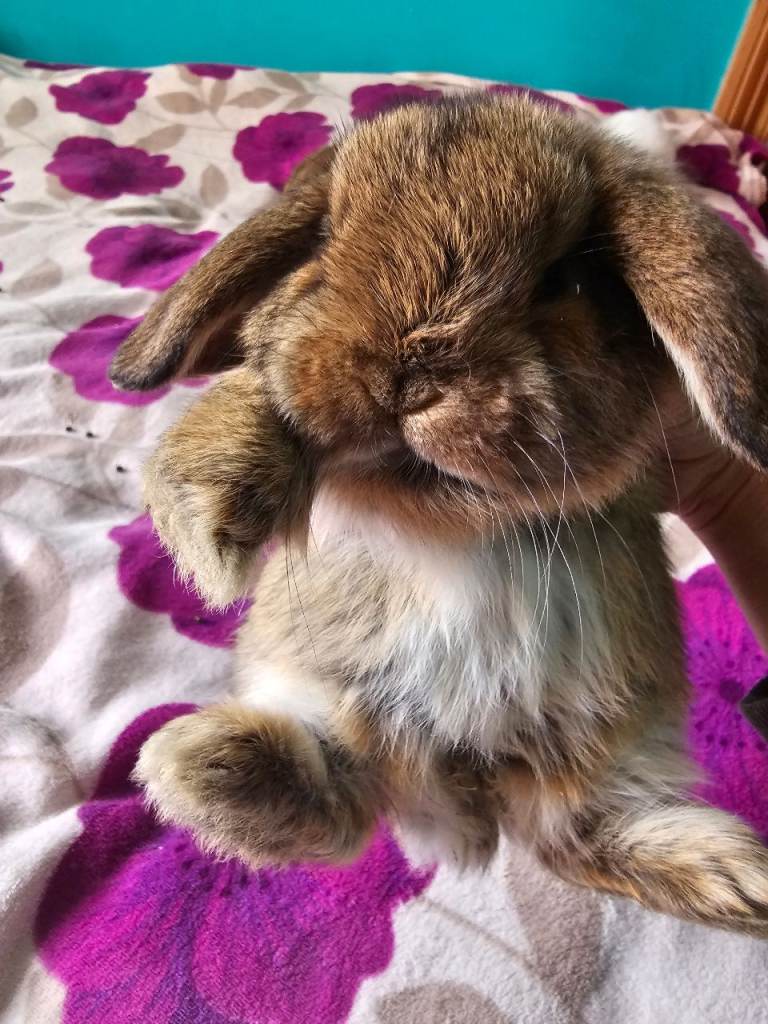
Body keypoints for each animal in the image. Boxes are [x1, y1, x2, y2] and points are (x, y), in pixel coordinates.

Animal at [110, 93, 768, 936]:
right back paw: (205, 765)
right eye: (323, 243)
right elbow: (262, 394)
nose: (406, 377)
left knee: (575, 835)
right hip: (339, 705)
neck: (445, 515)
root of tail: (465, 795)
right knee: (351, 796)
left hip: (615, 745)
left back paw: (735, 878)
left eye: (571, 280)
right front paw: (211, 536)